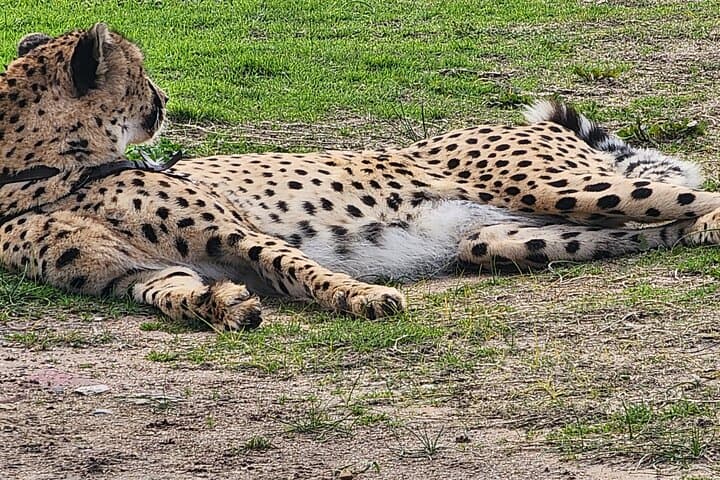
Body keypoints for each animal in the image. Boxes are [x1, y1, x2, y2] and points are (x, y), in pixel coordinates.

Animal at [7, 25, 720, 331]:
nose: (162, 99)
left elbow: (299, 266)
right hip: (506, 236)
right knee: (642, 227)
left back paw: (708, 221)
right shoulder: (133, 274)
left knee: (690, 194)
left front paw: (363, 298)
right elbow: (175, 293)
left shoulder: (240, 233)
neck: (42, 177)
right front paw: (222, 305)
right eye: (139, 71)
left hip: (551, 188)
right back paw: (690, 234)